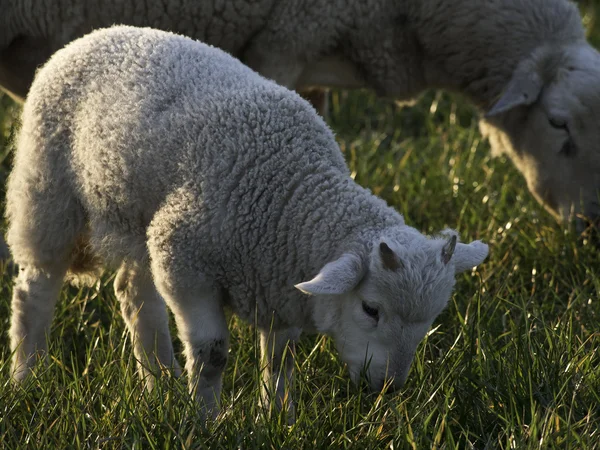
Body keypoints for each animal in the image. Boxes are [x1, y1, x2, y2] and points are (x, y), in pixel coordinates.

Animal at [7, 24, 490, 418]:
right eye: (371, 309)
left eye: (432, 320)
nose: (388, 388)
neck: (292, 195)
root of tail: (96, 34)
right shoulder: (185, 262)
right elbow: (212, 354)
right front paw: (203, 422)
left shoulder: (276, 278)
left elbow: (280, 359)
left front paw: (276, 417)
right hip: (47, 190)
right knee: (36, 289)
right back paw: (28, 376)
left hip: (139, 219)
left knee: (135, 296)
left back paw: (160, 384)